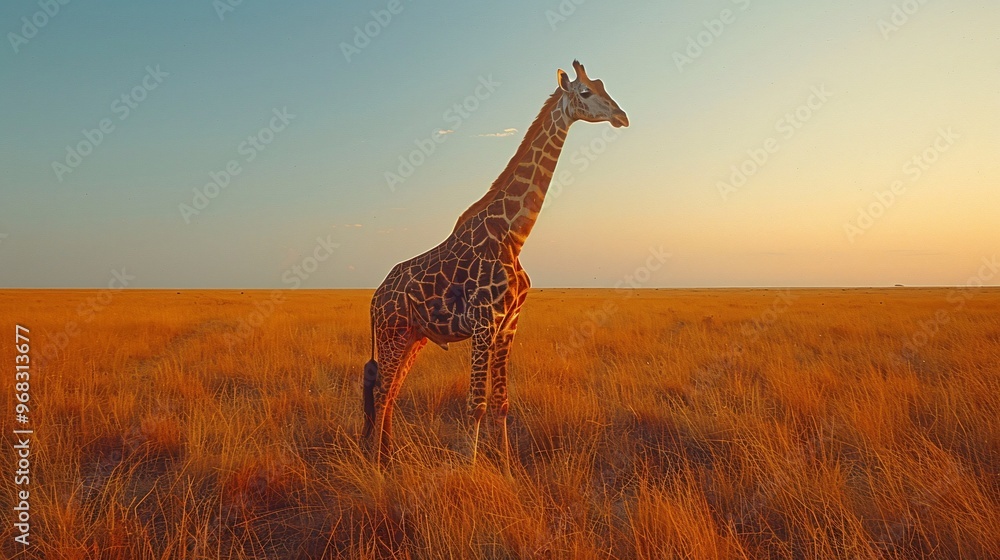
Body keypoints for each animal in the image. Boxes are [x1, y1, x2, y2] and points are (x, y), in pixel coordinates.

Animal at [363, 60, 628, 470]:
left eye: (603, 85)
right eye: (585, 92)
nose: (621, 116)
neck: (513, 235)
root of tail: (374, 298)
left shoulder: (509, 324)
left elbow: (501, 403)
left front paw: (506, 468)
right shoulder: (484, 322)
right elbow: (476, 404)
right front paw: (470, 469)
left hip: (414, 335)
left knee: (392, 391)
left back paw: (390, 458)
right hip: (392, 332)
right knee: (381, 391)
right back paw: (379, 464)